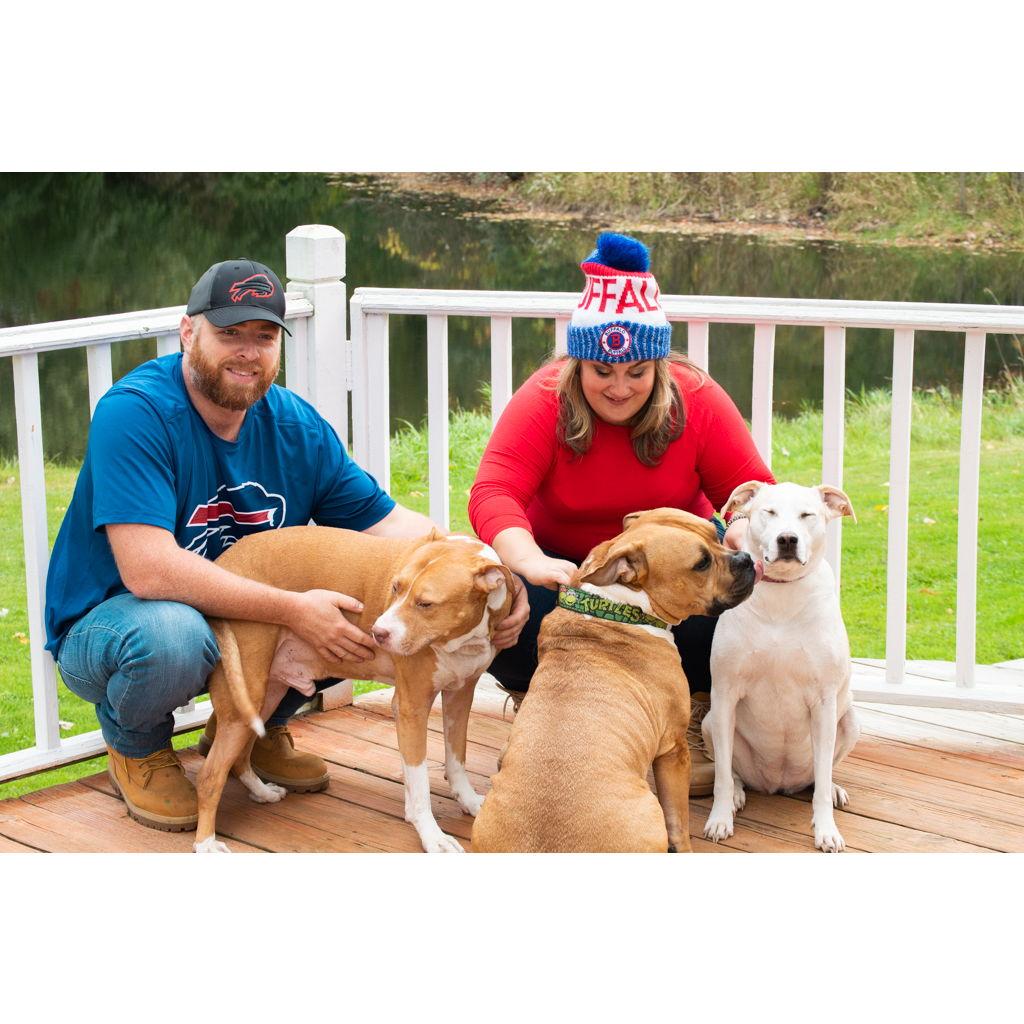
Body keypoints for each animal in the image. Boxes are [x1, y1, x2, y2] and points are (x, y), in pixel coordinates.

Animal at [192, 526, 514, 854]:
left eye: (426, 604)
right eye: (395, 587)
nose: (377, 633)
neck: (461, 639)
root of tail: (224, 563)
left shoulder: (459, 698)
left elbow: (455, 760)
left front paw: (468, 802)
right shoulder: (412, 707)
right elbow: (420, 780)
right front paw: (431, 835)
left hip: (263, 696)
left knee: (239, 758)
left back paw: (261, 792)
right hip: (246, 692)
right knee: (210, 775)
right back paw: (206, 843)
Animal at [471, 508, 758, 853]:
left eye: (715, 536)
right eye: (701, 564)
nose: (746, 557)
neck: (619, 606)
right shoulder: (673, 749)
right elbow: (678, 823)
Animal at [703, 481, 859, 852]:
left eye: (807, 515)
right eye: (769, 512)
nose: (787, 539)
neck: (782, 596)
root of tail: (776, 783)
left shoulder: (824, 703)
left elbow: (822, 780)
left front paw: (826, 830)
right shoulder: (725, 695)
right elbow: (721, 777)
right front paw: (719, 818)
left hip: (848, 722)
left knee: (820, 774)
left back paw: (831, 789)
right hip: (709, 722)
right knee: (731, 771)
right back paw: (737, 794)